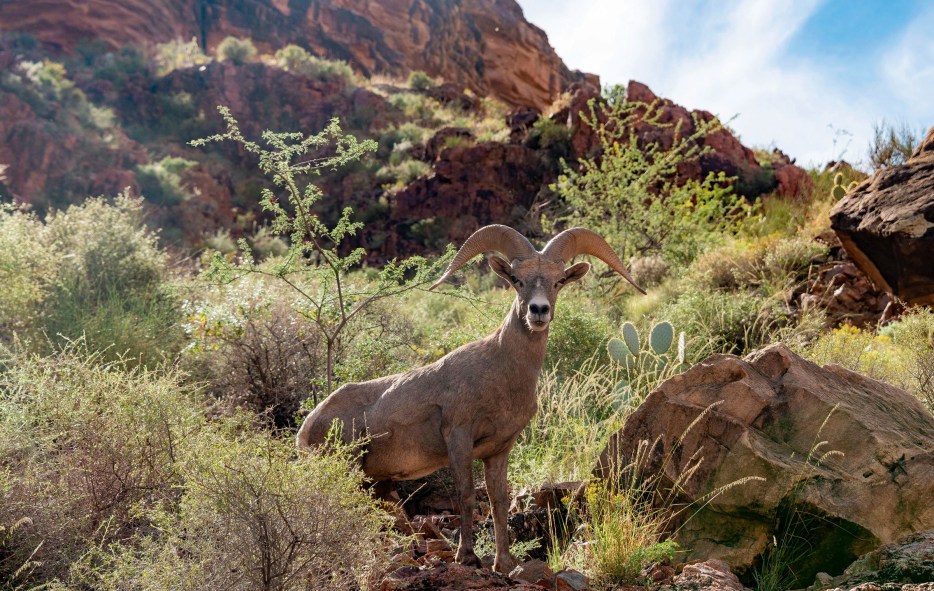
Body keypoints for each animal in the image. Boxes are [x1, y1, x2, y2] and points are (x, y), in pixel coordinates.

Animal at [298, 225, 644, 572]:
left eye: (558, 280)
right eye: (516, 279)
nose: (538, 311)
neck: (501, 374)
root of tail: (309, 426)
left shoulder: (499, 450)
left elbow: (497, 500)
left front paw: (503, 562)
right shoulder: (458, 439)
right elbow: (465, 495)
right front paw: (467, 556)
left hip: (374, 481)